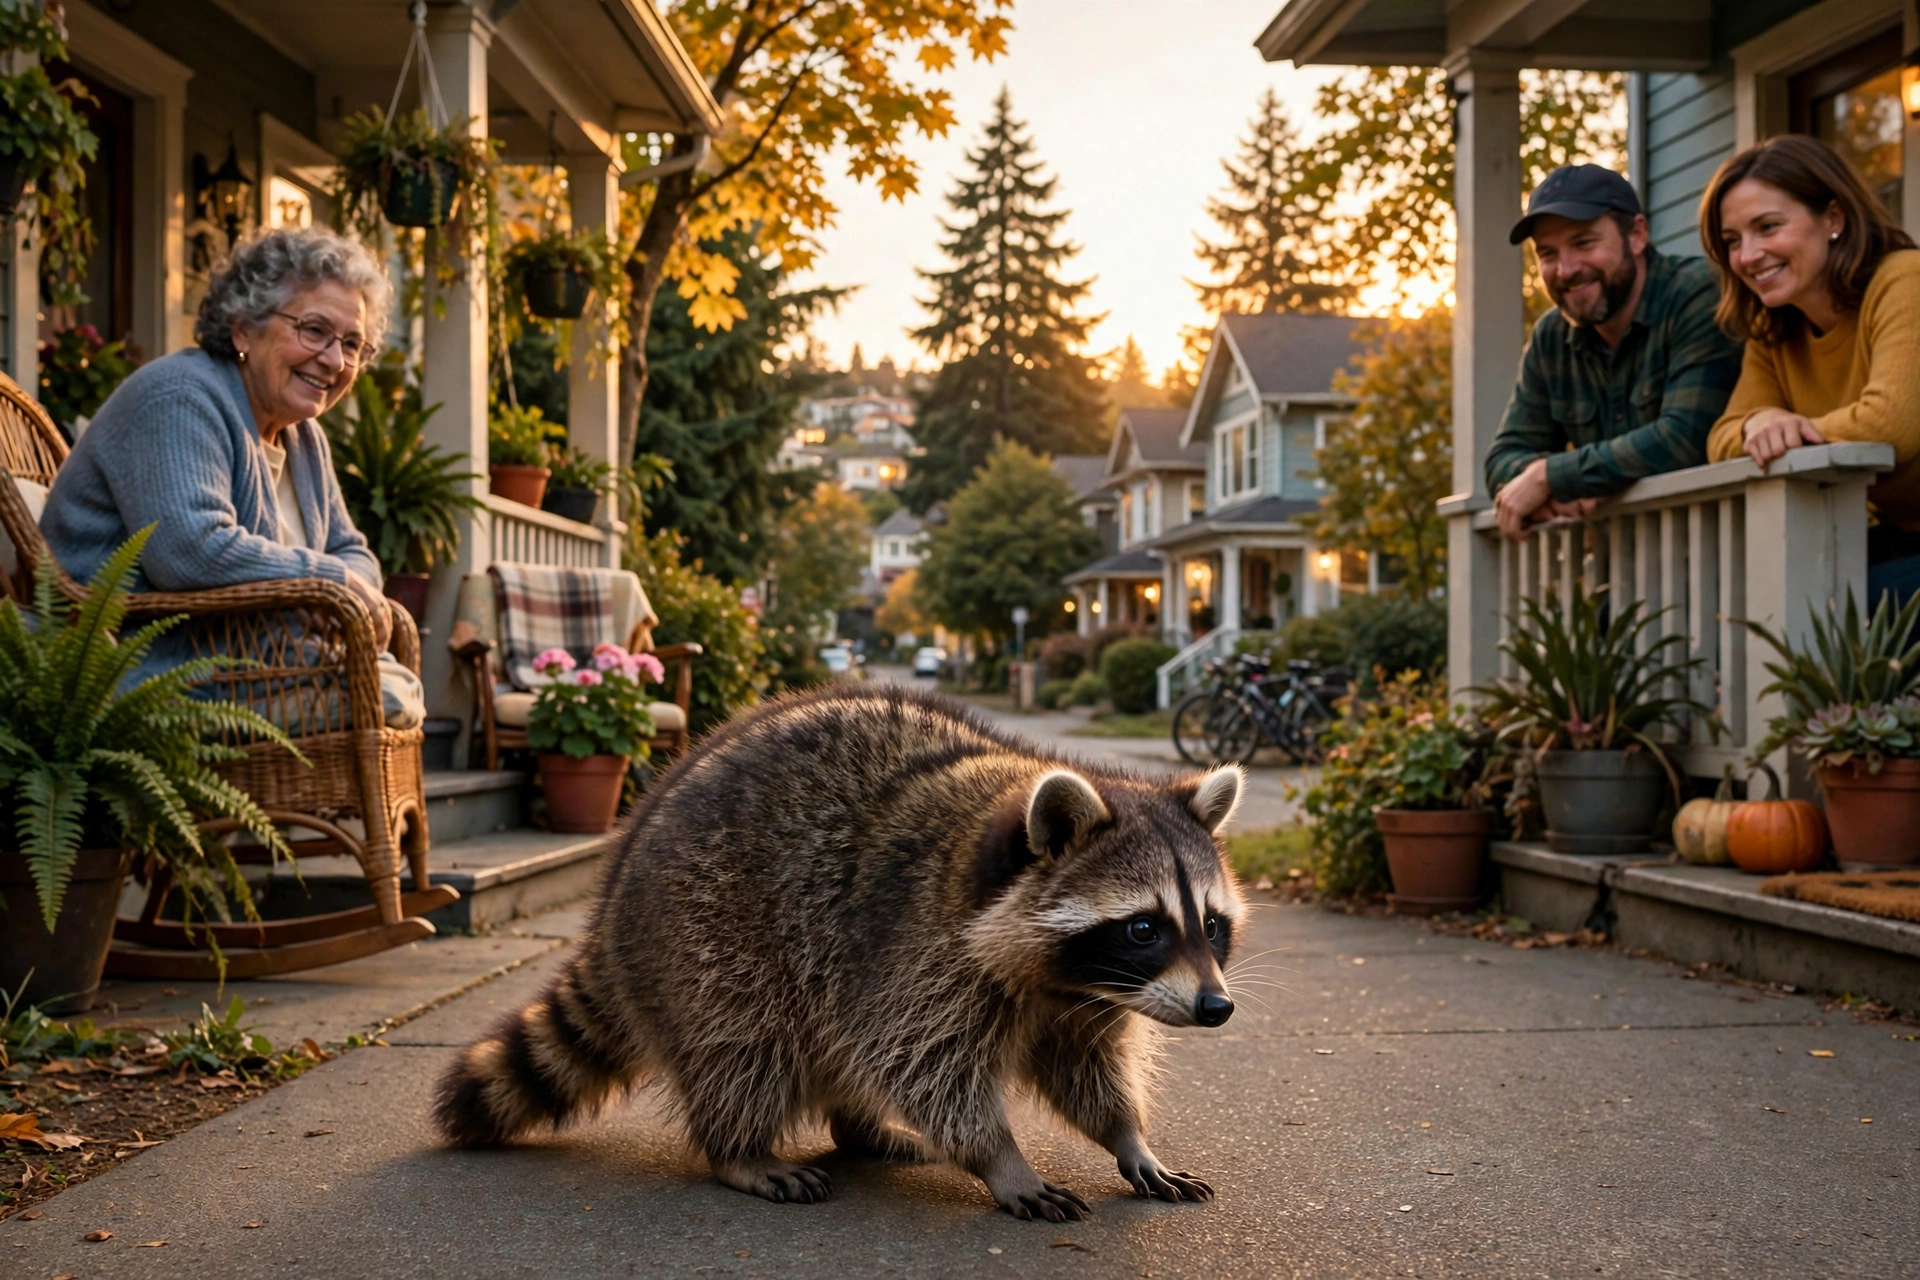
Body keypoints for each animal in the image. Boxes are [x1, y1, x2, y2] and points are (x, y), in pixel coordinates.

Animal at [434, 684, 1247, 1221]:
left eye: (1212, 925)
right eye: (1143, 928)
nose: (1217, 1008)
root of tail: (610, 904)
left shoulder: (1085, 1000)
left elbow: (1087, 1071)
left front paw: (1129, 1139)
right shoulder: (919, 950)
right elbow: (921, 1062)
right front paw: (1000, 1157)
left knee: (834, 1044)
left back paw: (858, 1128)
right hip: (703, 931)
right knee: (746, 1042)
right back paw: (740, 1149)